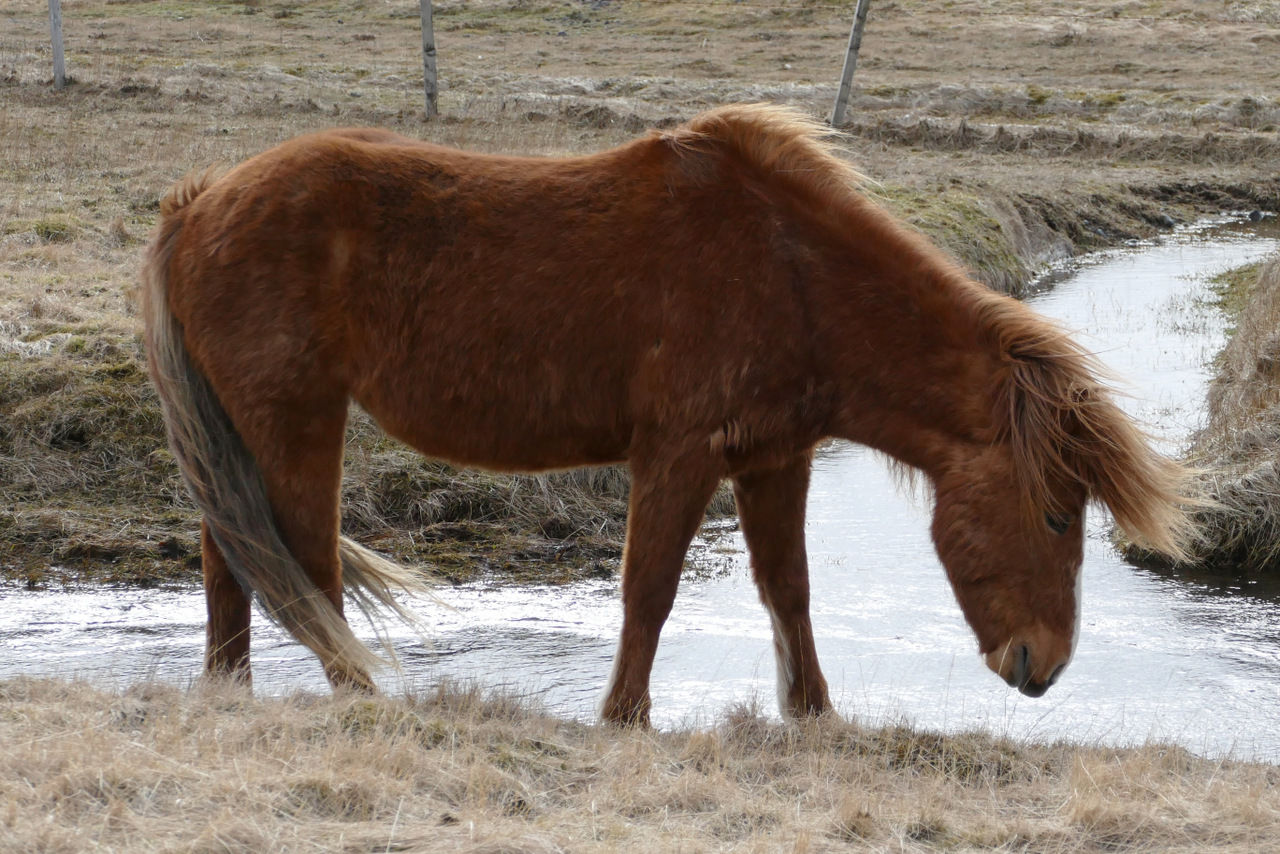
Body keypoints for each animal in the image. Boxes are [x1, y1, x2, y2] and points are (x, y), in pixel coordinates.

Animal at [145, 103, 1192, 727]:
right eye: (1055, 515)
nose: (1042, 668)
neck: (790, 273)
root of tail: (199, 203)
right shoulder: (682, 454)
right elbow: (648, 590)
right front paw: (624, 719)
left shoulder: (774, 459)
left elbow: (789, 591)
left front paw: (814, 714)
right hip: (294, 421)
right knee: (295, 560)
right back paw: (359, 696)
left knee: (230, 557)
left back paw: (229, 695)